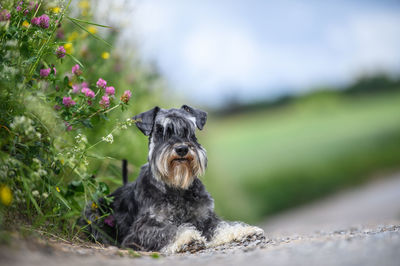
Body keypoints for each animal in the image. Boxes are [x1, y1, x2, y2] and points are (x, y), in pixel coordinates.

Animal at [83, 105, 266, 252]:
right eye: (161, 131)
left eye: (190, 131)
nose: (182, 149)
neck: (176, 187)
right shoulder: (143, 229)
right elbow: (169, 230)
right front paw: (188, 239)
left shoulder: (205, 218)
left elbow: (223, 226)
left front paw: (245, 231)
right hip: (93, 212)